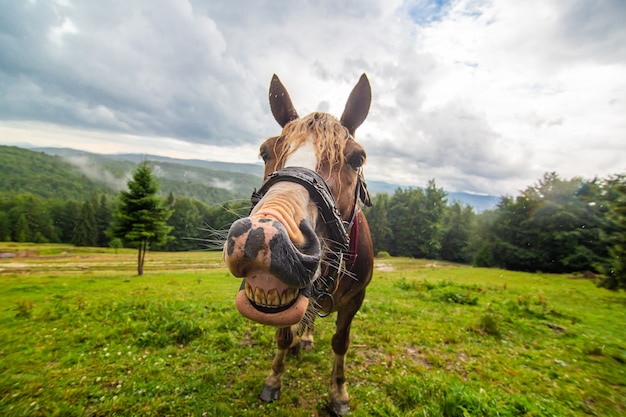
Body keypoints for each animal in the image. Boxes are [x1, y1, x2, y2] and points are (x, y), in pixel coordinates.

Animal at [223, 73, 370, 414]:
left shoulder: (356, 300)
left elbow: (341, 343)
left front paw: (338, 393)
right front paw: (274, 379)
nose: (262, 237)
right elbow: (281, 337)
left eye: (357, 158)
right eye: (265, 152)